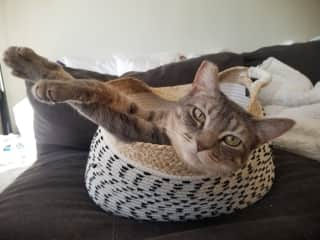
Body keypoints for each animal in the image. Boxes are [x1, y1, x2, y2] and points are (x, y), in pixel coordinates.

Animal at [3, 46, 296, 176]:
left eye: (232, 140)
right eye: (198, 115)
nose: (201, 145)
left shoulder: (133, 127)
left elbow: (93, 100)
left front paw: (47, 86)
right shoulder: (131, 106)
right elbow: (90, 85)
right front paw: (28, 64)